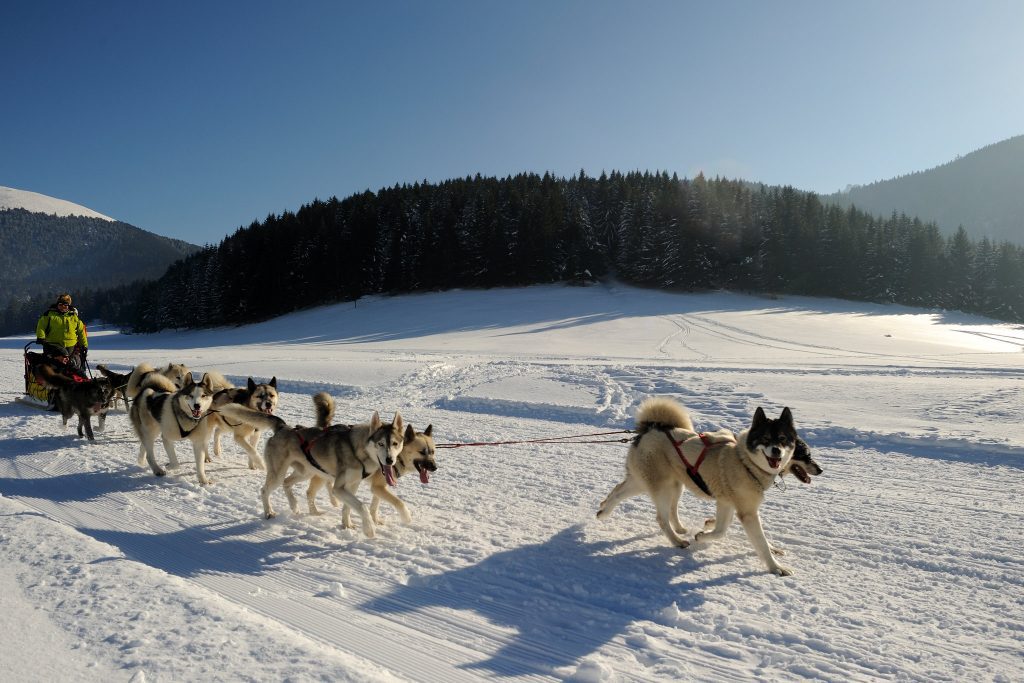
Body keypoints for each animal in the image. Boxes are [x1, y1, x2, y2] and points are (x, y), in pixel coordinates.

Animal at [598, 395, 802, 577]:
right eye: (765, 439)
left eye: (783, 439)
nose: (776, 451)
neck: (744, 461)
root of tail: (650, 429)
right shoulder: (747, 513)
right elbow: (757, 541)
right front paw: (776, 567)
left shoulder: (726, 504)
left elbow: (721, 530)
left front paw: (705, 532)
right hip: (662, 487)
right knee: (661, 518)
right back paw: (677, 540)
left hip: (659, 483)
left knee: (619, 491)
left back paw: (604, 510)